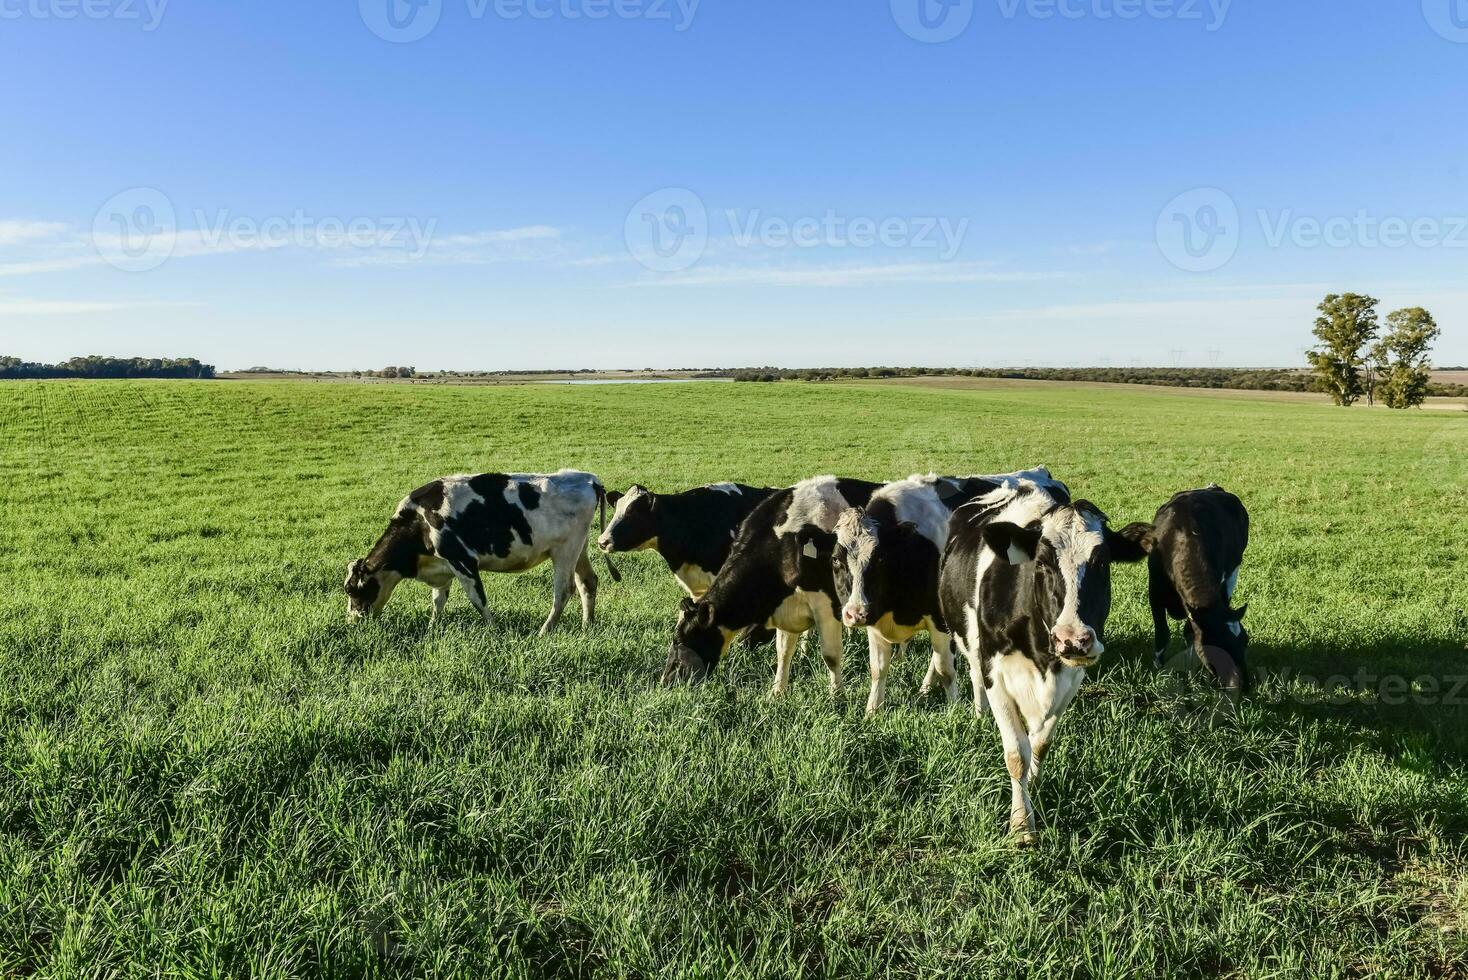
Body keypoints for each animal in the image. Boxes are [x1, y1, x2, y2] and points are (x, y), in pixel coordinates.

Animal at [343, 472, 613, 639]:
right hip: (579, 549)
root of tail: (588, 479)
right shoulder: (443, 568)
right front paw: (432, 628)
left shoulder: (462, 560)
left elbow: (477, 600)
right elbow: (438, 601)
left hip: (565, 551)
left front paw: (493, 631)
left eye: (351, 590)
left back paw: (544, 631)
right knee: (587, 582)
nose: (351, 622)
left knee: (564, 591)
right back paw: (586, 626)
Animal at [666, 475, 880, 689]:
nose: (667, 680)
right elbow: (783, 651)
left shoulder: (826, 605)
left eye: (683, 640)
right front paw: (778, 691)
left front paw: (837, 693)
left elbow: (831, 655)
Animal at [839, 469, 1068, 715]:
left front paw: (953, 709)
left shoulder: (940, 619)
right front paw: (872, 711)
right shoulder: (875, 617)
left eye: (880, 559)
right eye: (837, 561)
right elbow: (878, 669)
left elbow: (946, 670)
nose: (854, 614)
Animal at [1121, 487, 1250, 689]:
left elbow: (1190, 633)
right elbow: (1163, 633)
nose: (1245, 686)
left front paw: (1192, 675)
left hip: (1233, 571)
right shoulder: (1155, 593)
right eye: (1217, 645)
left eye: (1245, 641)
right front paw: (1159, 670)